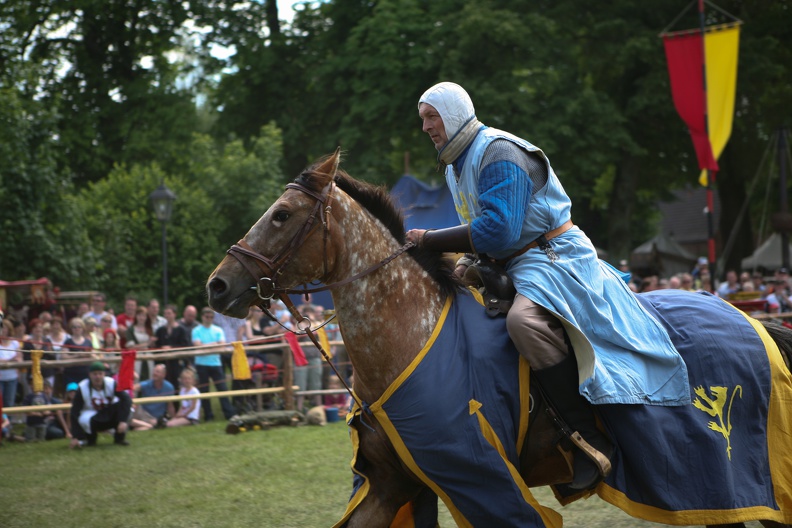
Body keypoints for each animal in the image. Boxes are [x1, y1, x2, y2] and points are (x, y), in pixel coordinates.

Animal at [206, 151, 792, 524]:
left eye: (281, 215)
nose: (218, 285)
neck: (408, 330)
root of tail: (753, 319)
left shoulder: (481, 477)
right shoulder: (392, 485)